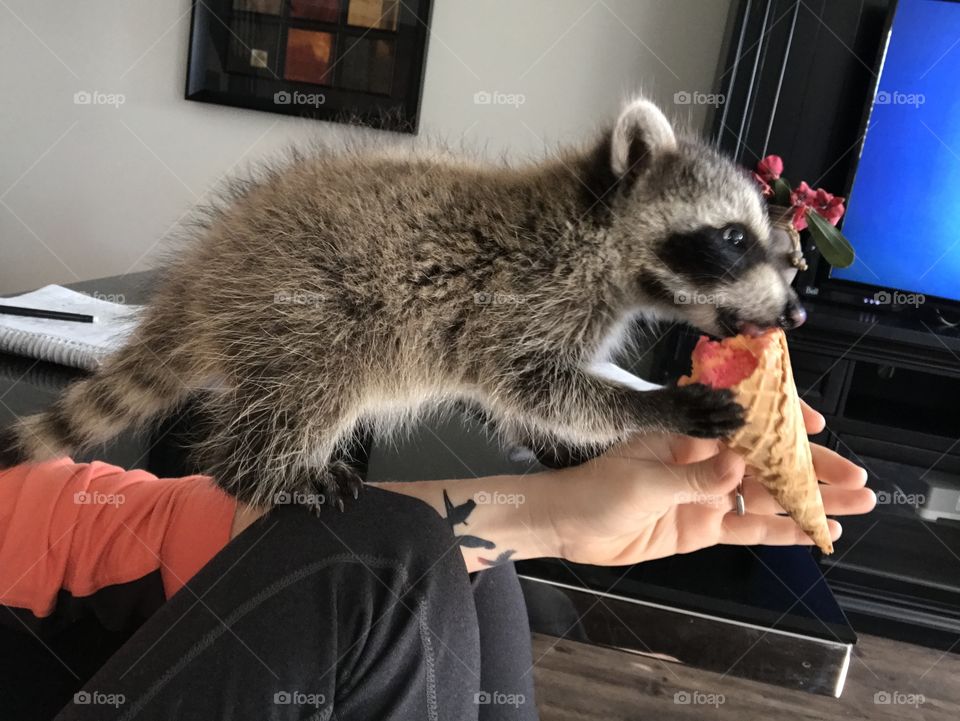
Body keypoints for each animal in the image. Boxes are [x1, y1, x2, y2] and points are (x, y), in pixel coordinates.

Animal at [0, 98, 805, 510]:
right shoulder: (519, 299)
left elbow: (532, 402)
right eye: (733, 239)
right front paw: (652, 407)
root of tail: (201, 280)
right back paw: (258, 473)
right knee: (309, 393)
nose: (796, 314)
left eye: (777, 245)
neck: (596, 236)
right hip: (308, 316)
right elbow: (538, 387)